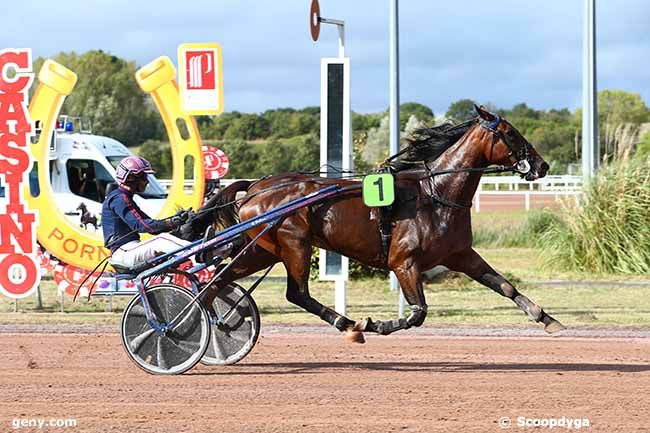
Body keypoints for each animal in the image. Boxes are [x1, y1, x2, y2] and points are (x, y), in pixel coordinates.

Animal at [182, 105, 560, 340]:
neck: (436, 193)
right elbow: (418, 313)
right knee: (296, 292)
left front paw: (547, 319)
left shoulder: (461, 255)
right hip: (293, 244)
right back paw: (347, 322)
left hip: (262, 250)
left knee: (218, 282)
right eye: (510, 133)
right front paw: (375, 323)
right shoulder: (404, 262)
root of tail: (257, 187)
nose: (542, 165)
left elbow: (505, 286)